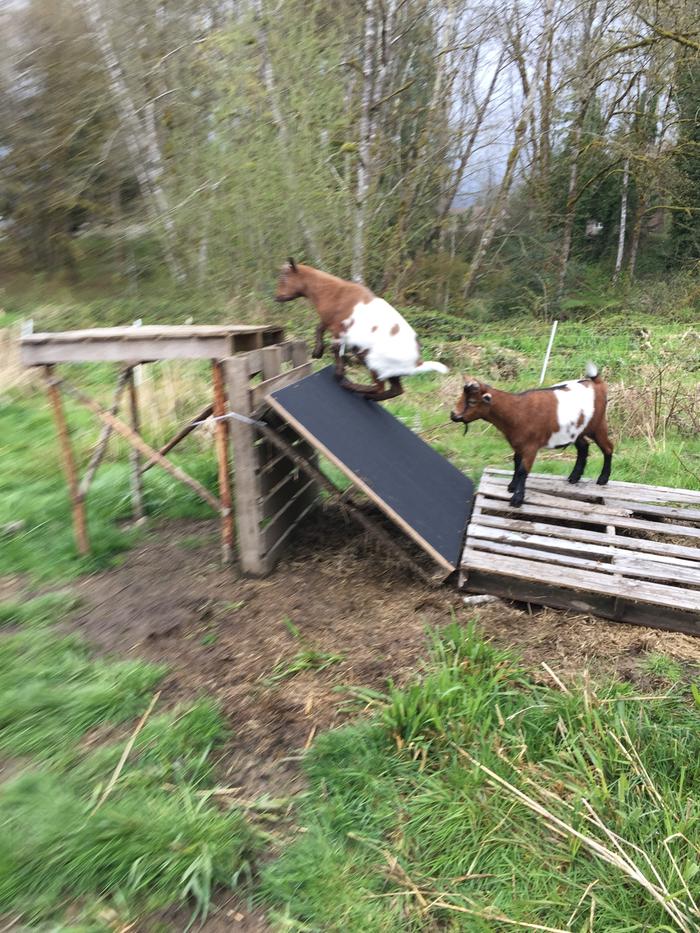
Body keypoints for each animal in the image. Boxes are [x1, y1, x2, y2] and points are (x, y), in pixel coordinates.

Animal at [274, 258, 448, 400]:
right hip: (391, 371)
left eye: (283, 278)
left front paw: (338, 372)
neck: (333, 291)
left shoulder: (339, 329)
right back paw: (367, 396)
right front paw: (318, 352)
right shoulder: (329, 321)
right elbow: (319, 329)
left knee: (380, 387)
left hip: (374, 361)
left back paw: (352, 387)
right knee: (395, 390)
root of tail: (417, 363)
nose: (276, 297)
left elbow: (335, 348)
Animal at [448, 364, 612, 506]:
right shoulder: (518, 444)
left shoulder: (531, 446)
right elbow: (516, 463)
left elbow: (523, 470)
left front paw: (517, 499)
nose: (453, 415)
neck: (517, 411)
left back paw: (603, 479)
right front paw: (512, 486)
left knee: (608, 448)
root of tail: (596, 383)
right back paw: (574, 477)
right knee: (584, 446)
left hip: (597, 425)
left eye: (472, 401)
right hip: (576, 430)